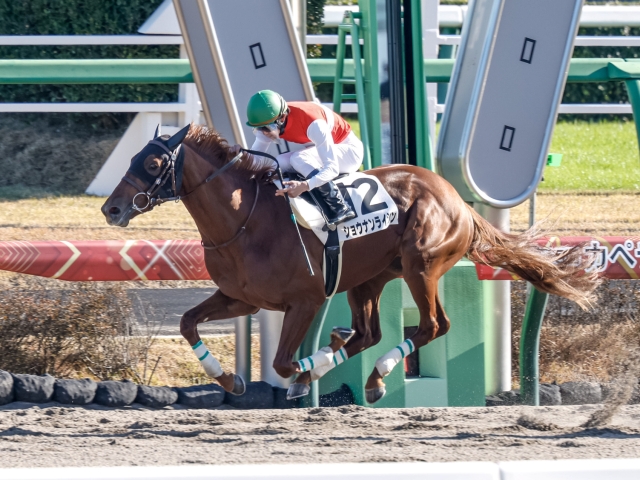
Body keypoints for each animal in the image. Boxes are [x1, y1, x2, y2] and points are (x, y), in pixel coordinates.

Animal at [102, 125, 596, 404]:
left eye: (153, 162)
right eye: (133, 157)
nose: (111, 208)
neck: (246, 219)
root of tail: (456, 198)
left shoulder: (304, 301)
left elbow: (284, 363)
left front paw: (305, 374)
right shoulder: (240, 298)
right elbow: (187, 322)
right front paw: (229, 380)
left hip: (421, 266)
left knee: (433, 325)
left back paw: (372, 374)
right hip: (370, 278)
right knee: (369, 332)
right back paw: (358, 367)